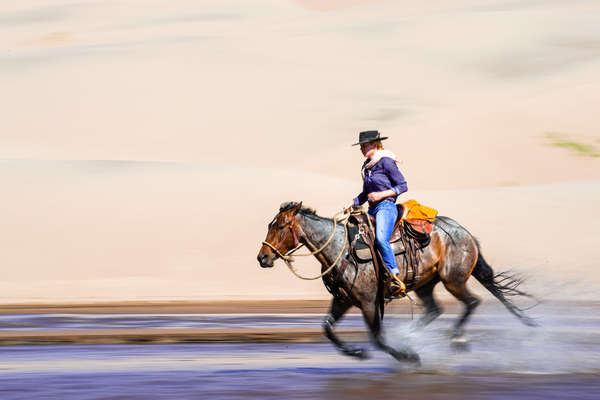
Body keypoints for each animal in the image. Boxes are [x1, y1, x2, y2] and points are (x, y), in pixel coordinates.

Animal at [255, 202, 536, 364]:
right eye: (270, 224)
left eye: (281, 226)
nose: (262, 257)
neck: (340, 249)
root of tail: (465, 233)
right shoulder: (344, 300)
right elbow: (328, 329)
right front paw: (357, 353)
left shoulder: (369, 302)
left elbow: (377, 337)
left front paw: (407, 355)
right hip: (425, 284)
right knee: (435, 310)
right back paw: (413, 335)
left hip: (453, 280)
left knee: (472, 302)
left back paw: (456, 339)